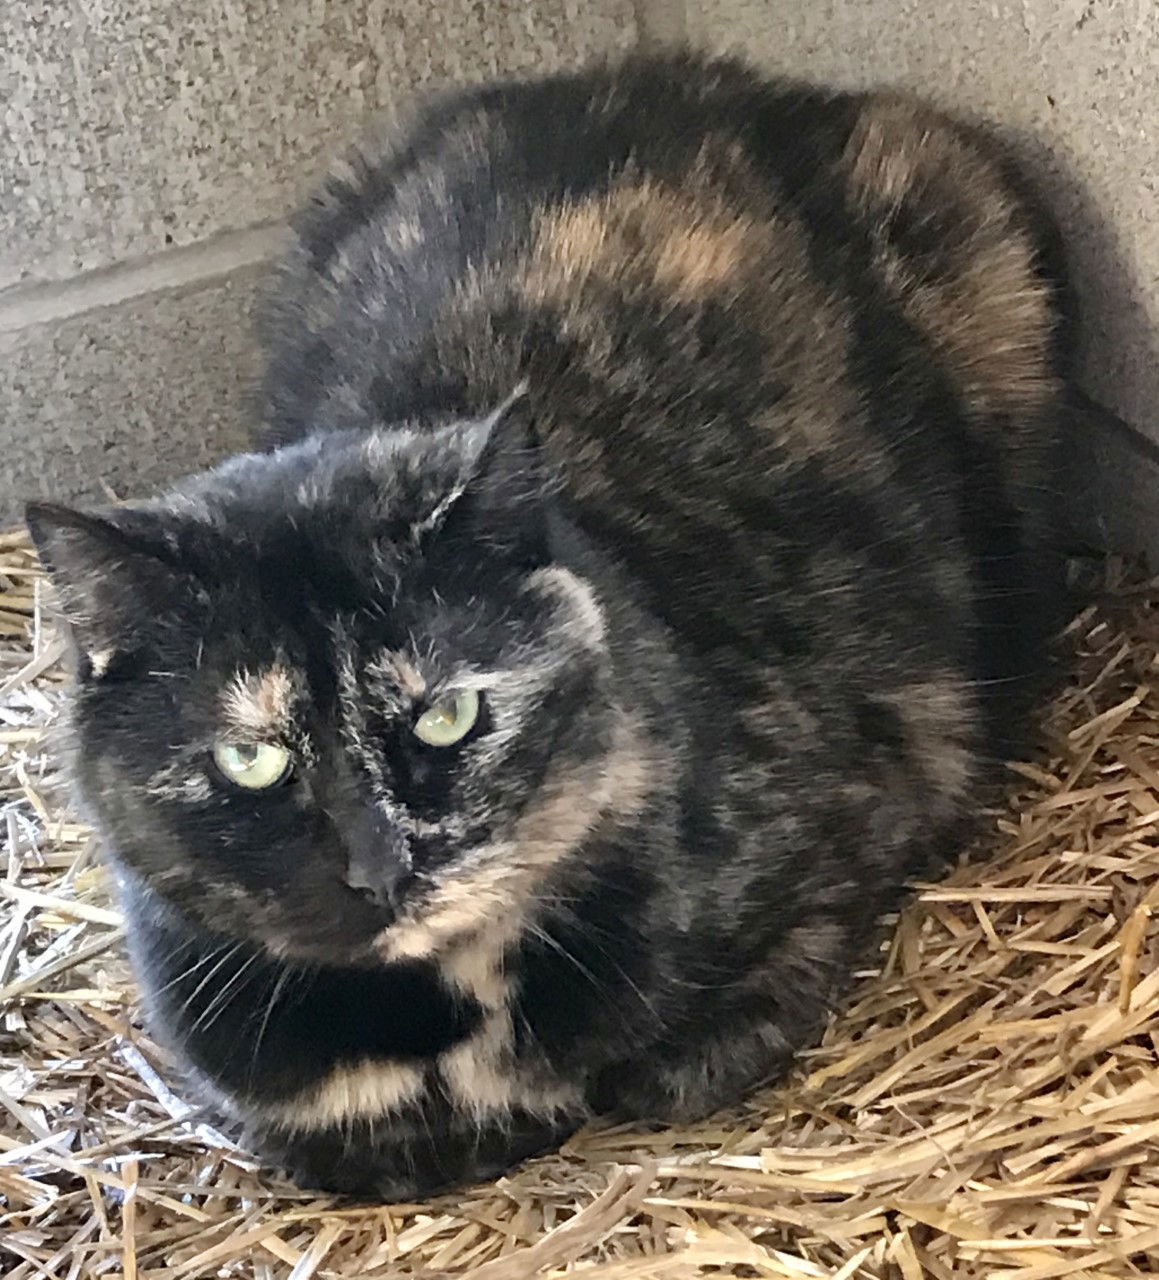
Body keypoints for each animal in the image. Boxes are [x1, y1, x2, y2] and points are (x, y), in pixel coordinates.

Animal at [27, 52, 1070, 1198]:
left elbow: (679, 1056)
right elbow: (354, 1143)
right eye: (249, 760)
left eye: (447, 716)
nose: (381, 866)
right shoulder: (255, 1085)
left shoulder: (862, 819)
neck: (439, 1013)